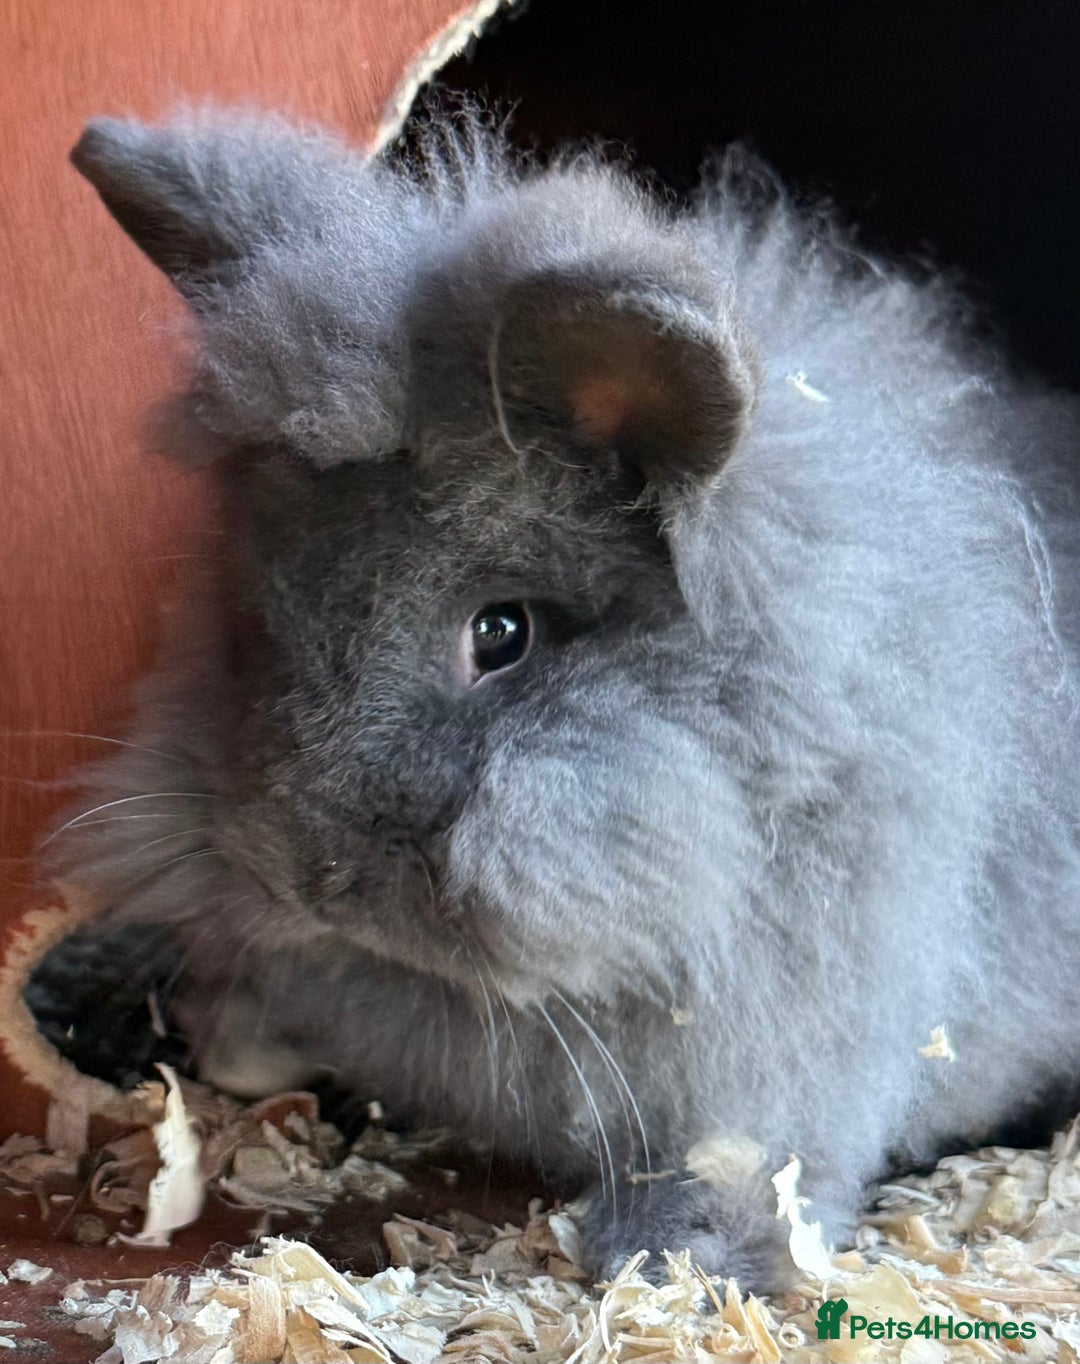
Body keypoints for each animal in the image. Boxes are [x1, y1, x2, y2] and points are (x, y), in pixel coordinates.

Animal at [41, 105, 1080, 1293]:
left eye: (503, 633)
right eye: (264, 611)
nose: (312, 878)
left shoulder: (792, 1050)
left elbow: (744, 1161)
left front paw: (674, 1261)